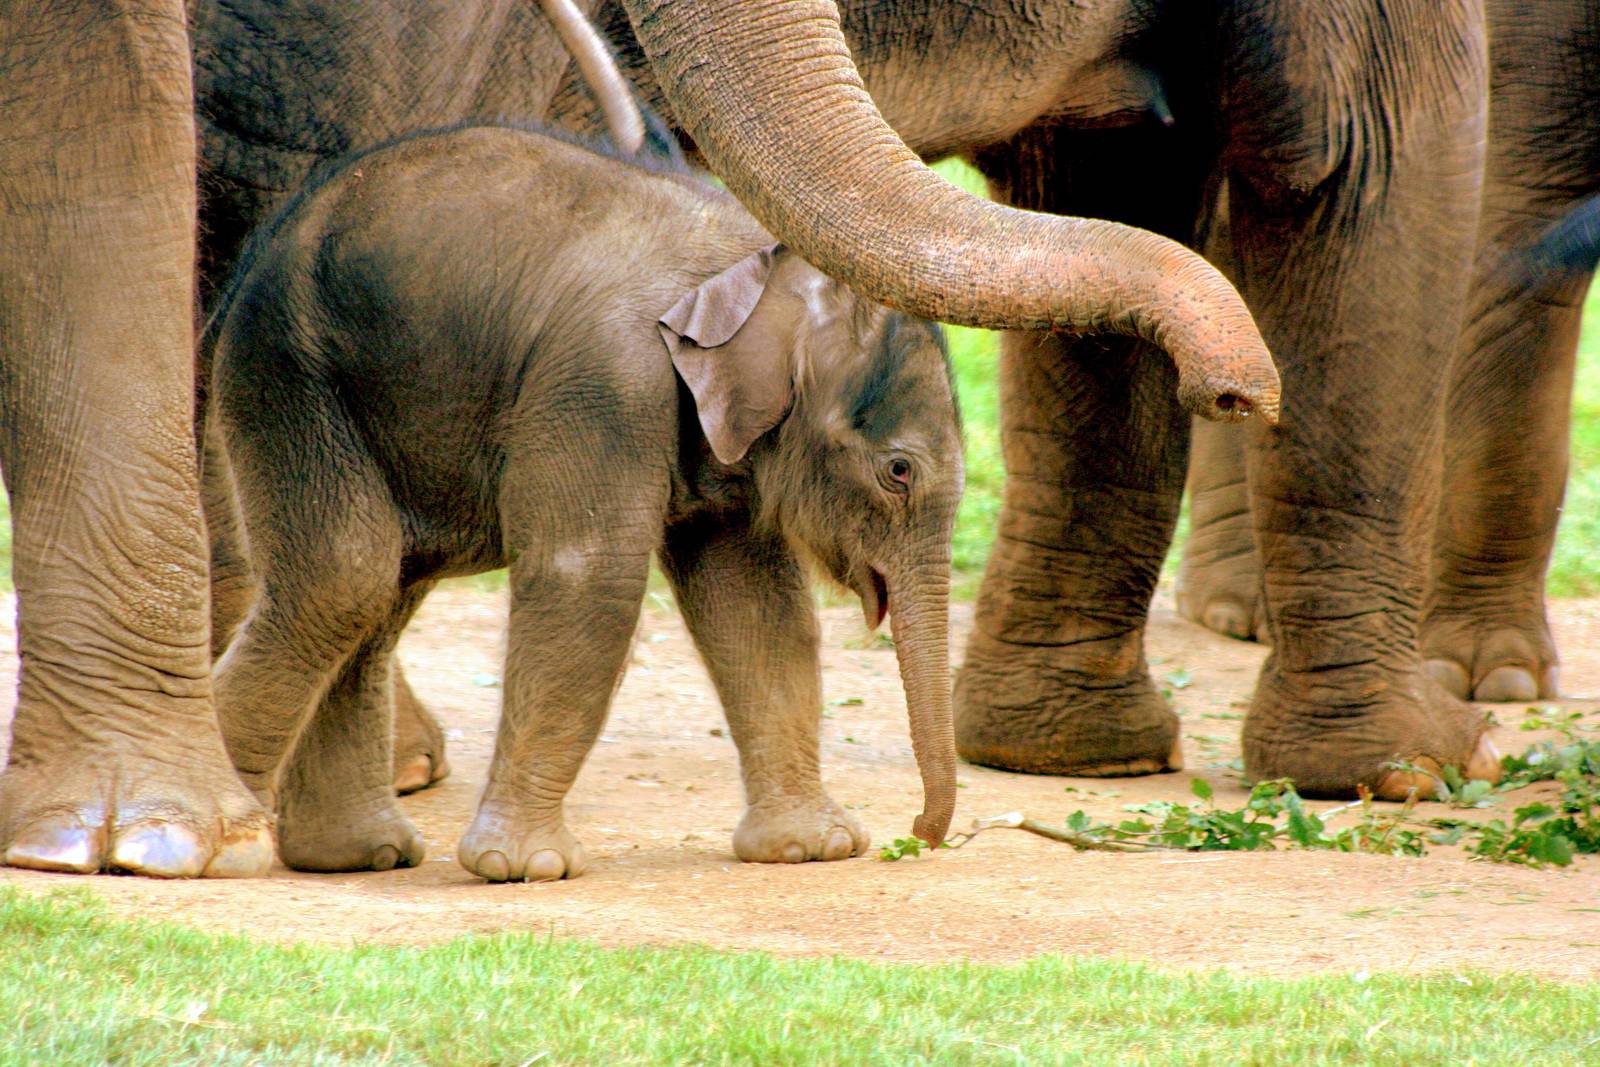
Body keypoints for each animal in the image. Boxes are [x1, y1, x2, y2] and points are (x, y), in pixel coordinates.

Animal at [204, 123, 969, 876]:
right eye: (899, 470)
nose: (918, 835)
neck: (753, 258)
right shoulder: (604, 379)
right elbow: (591, 577)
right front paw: (523, 866)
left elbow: (756, 603)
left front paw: (812, 849)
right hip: (288, 371)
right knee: (345, 576)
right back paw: (208, 834)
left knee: (383, 588)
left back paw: (359, 855)